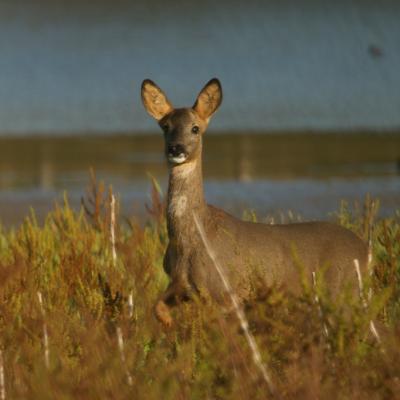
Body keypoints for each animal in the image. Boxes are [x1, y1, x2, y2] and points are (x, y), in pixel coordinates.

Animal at [140, 79, 366, 328]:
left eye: (195, 128)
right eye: (165, 127)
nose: (176, 148)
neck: (193, 237)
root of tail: (366, 250)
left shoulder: (225, 292)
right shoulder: (181, 285)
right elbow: (156, 308)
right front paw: (170, 324)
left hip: (342, 290)